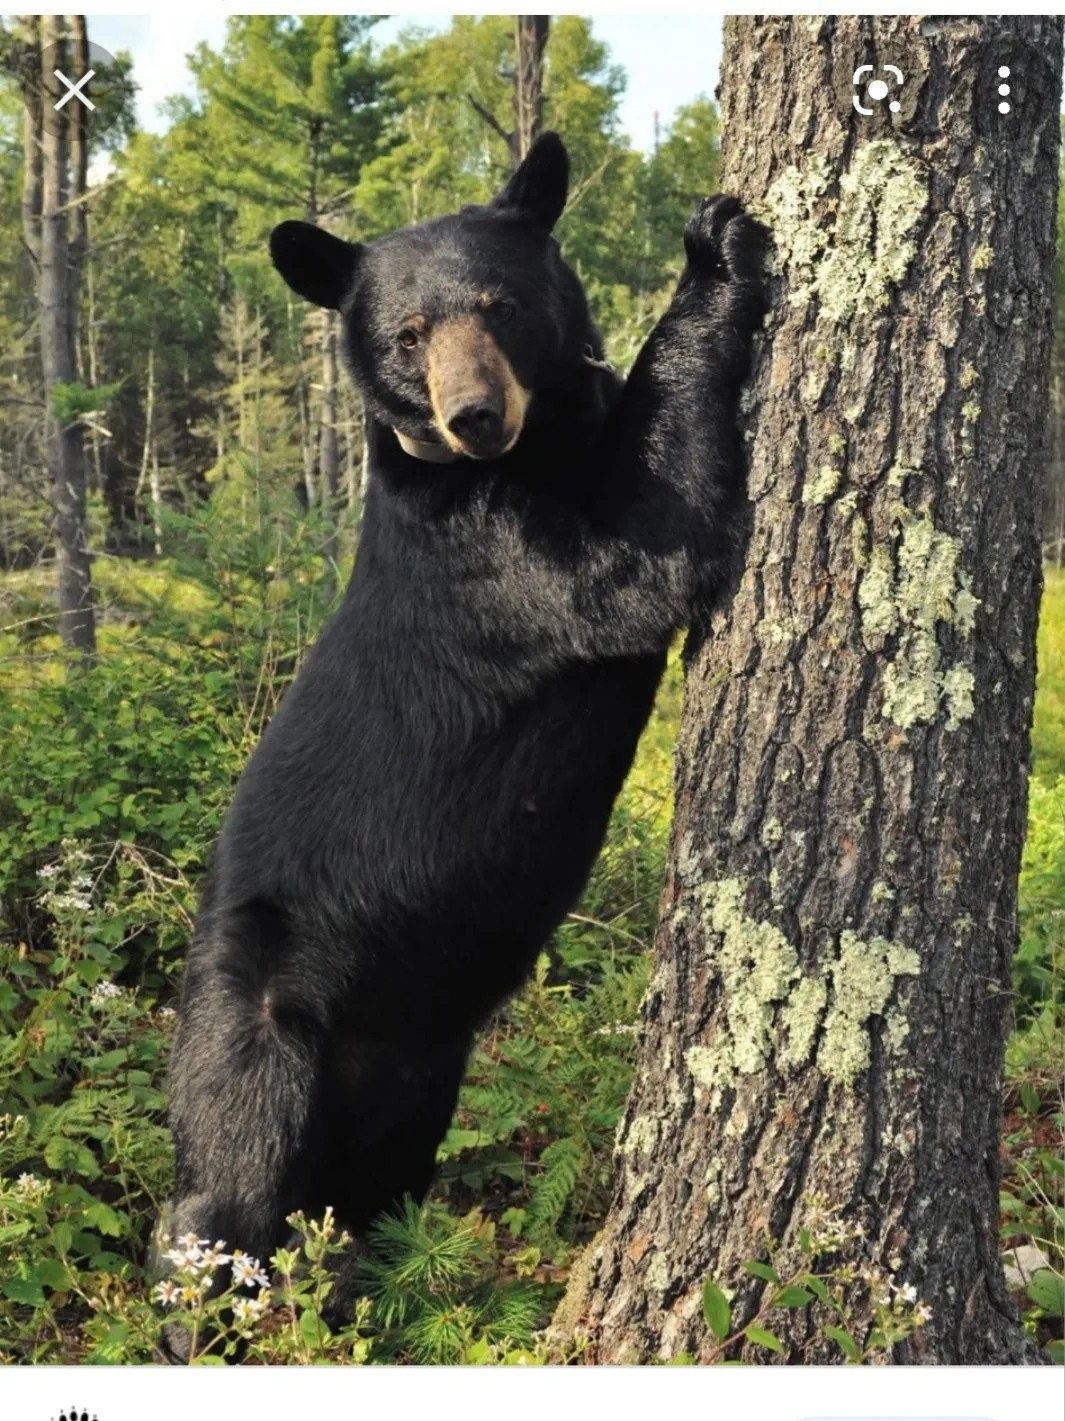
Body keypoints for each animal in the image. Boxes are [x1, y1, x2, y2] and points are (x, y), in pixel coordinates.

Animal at [163, 131, 766, 1312]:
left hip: (417, 1081)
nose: (473, 414)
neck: (512, 462)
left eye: (499, 304)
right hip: (254, 1020)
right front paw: (712, 250)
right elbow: (643, 543)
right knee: (226, 1183)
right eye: (406, 333)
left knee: (366, 1186)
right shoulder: (488, 557)